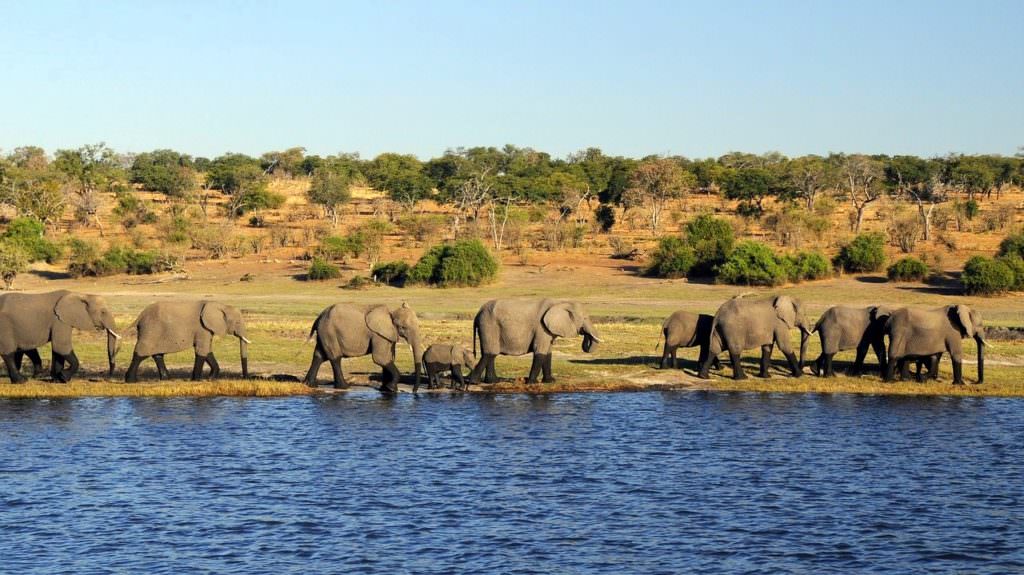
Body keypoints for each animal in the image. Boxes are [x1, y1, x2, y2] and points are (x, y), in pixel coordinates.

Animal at [468, 296, 602, 382]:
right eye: (585, 318)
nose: (585, 335)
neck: (561, 302)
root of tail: (478, 313)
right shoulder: (541, 328)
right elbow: (540, 351)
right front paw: (532, 382)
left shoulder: (547, 330)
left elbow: (548, 352)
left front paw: (550, 381)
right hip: (489, 325)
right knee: (490, 353)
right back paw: (474, 382)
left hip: (487, 326)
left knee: (489, 354)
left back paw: (493, 381)